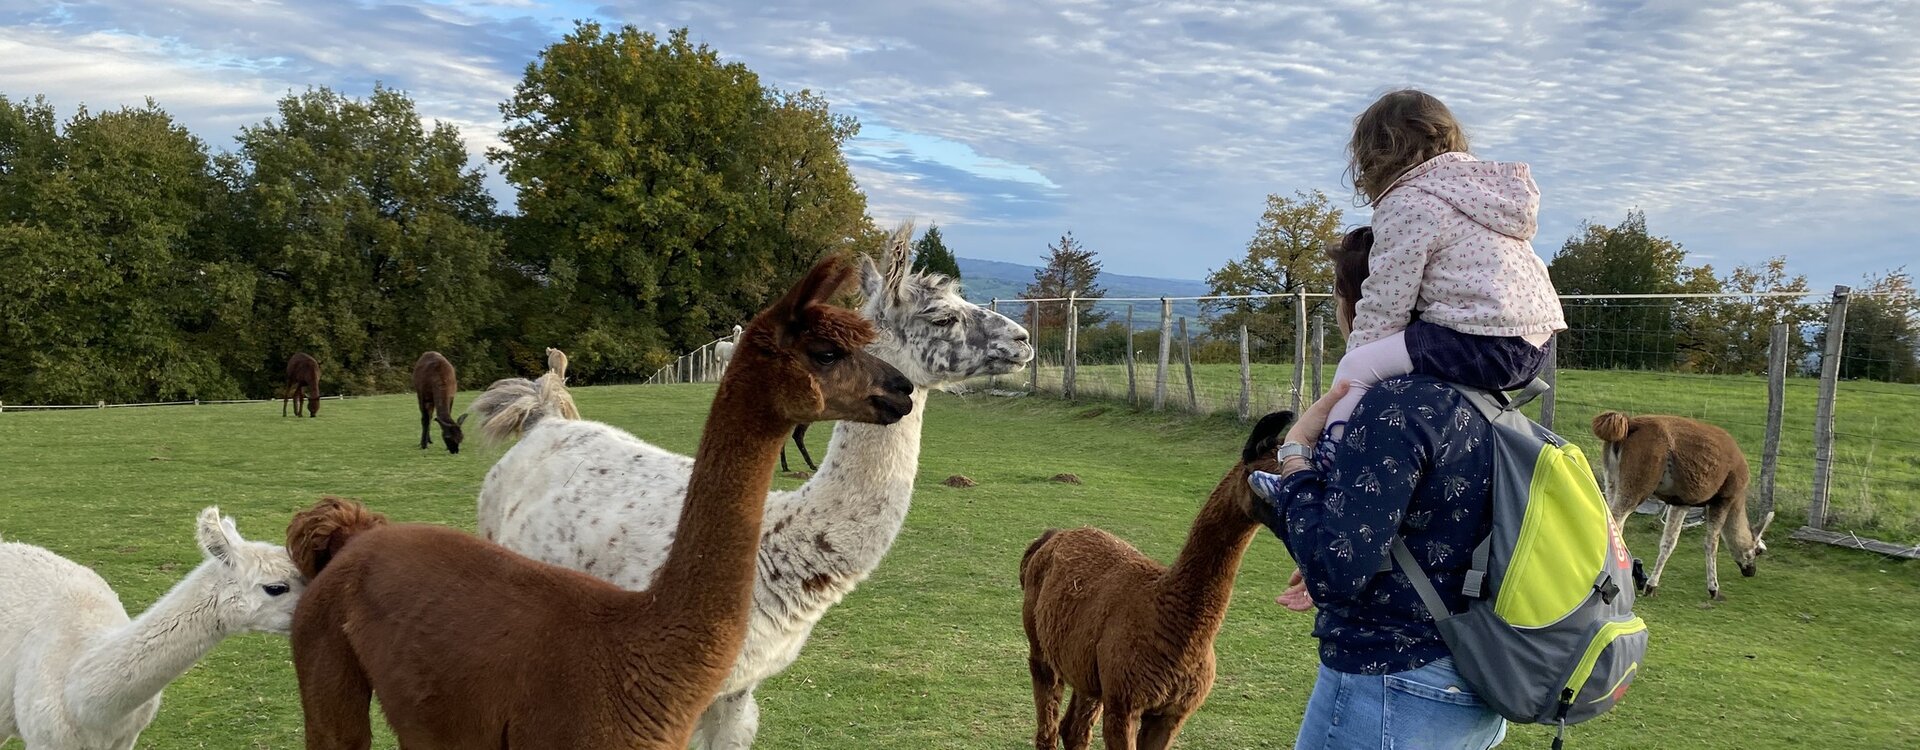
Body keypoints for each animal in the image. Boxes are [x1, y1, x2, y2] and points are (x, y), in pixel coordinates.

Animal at [1021, 410, 1290, 750]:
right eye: (1268, 480)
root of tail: (1053, 536)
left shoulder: (1171, 713)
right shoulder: (1126, 704)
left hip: (1087, 665)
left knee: (1074, 729)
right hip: (1042, 647)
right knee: (1048, 720)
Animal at [1589, 410, 1766, 606]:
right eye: (1758, 551)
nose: (1751, 571)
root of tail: (1630, 423)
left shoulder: (1681, 502)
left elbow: (1668, 543)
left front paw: (1651, 586)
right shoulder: (1723, 499)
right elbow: (1711, 543)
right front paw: (1714, 589)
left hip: (1612, 479)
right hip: (1638, 480)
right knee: (1616, 522)